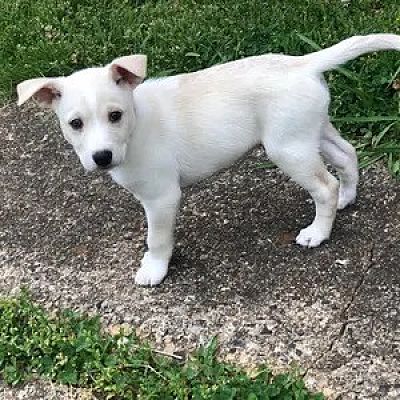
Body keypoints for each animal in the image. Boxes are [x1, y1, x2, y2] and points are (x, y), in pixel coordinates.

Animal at [17, 33, 400, 284]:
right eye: (75, 124)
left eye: (115, 115)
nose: (101, 157)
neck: (136, 123)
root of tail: (302, 63)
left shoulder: (162, 197)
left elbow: (157, 238)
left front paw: (154, 269)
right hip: (310, 132)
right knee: (347, 155)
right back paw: (347, 198)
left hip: (287, 148)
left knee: (324, 186)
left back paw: (318, 232)